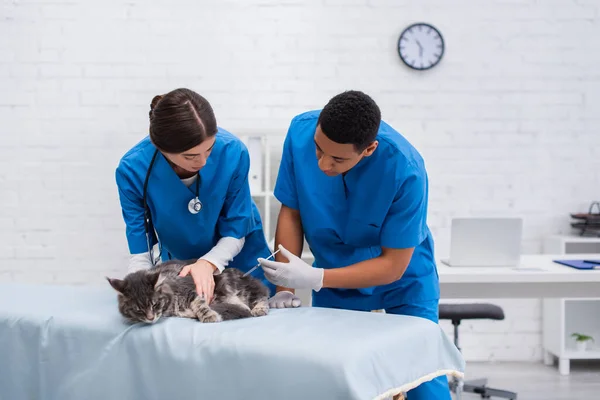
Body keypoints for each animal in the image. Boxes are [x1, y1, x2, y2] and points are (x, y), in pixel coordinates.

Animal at [105, 260, 270, 324]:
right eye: (138, 310)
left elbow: (201, 305)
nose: (151, 318)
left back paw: (259, 309)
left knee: (262, 296)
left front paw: (209, 316)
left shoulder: (193, 290)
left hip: (242, 287)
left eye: (155, 304)